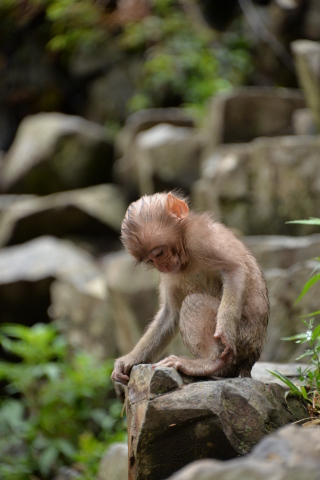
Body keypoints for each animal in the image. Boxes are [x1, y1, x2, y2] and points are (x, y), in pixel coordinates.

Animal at [111, 193, 268, 384]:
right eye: (150, 261)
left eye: (159, 253)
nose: (163, 266)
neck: (185, 251)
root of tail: (252, 357)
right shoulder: (170, 274)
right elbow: (170, 314)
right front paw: (129, 360)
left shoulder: (200, 238)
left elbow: (235, 270)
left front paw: (225, 332)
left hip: (245, 338)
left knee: (195, 302)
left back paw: (210, 362)